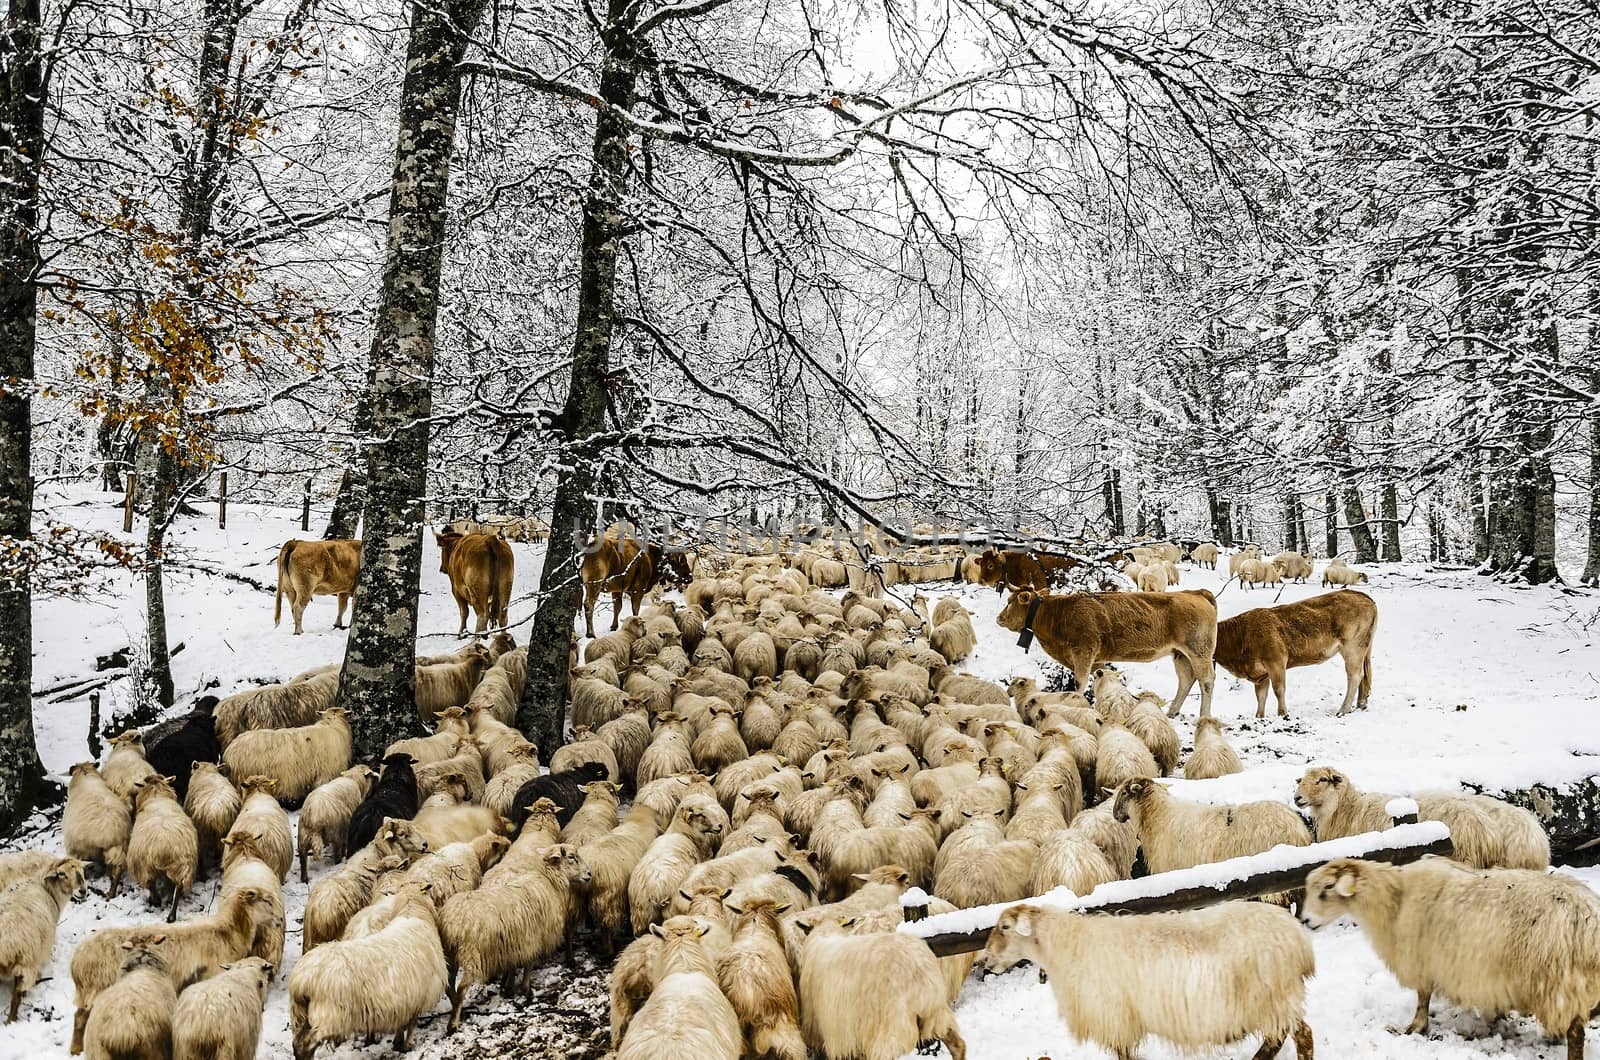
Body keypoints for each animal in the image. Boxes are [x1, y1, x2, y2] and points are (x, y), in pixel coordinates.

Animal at [992, 589, 1216, 723]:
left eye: (1010, 601)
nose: (999, 618)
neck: (1059, 613)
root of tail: (1195, 593)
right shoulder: (1094, 658)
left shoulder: (1083, 651)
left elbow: (1079, 682)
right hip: (1181, 654)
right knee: (1186, 680)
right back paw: (1172, 712)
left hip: (1199, 651)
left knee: (1206, 681)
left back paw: (1204, 716)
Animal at [1209, 592, 1376, 717]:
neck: (1241, 635)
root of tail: (1361, 595)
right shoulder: (1261, 674)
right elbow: (1261, 696)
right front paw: (1259, 717)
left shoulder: (1276, 662)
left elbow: (1278, 689)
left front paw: (1282, 714)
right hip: (1364, 649)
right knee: (1365, 676)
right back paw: (1361, 705)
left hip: (1353, 648)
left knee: (1355, 676)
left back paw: (1343, 710)